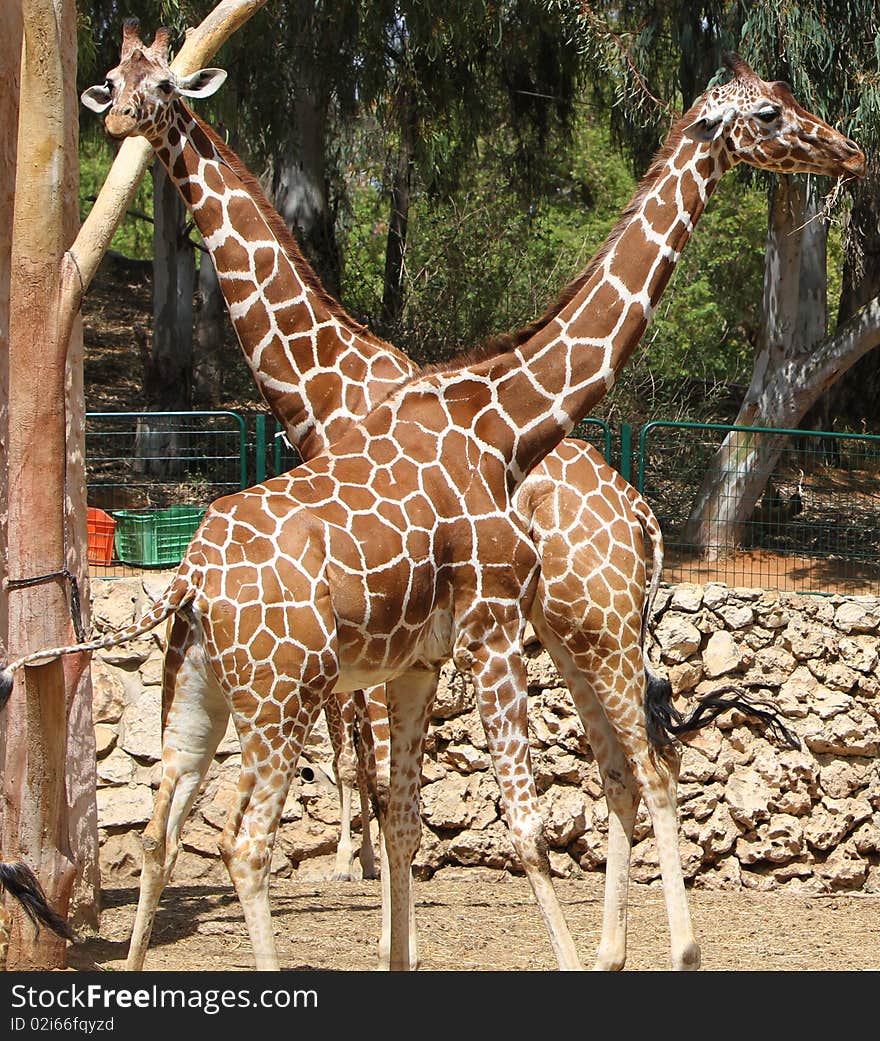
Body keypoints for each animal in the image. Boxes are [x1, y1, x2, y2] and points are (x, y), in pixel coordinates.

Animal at [17, 36, 862, 970]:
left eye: (161, 83)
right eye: (771, 113)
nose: (849, 150)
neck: (498, 417)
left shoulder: (429, 651)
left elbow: (420, 808)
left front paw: (398, 934)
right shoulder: (470, 636)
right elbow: (481, 817)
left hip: (560, 635)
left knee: (641, 769)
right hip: (377, 669)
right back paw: (652, 951)